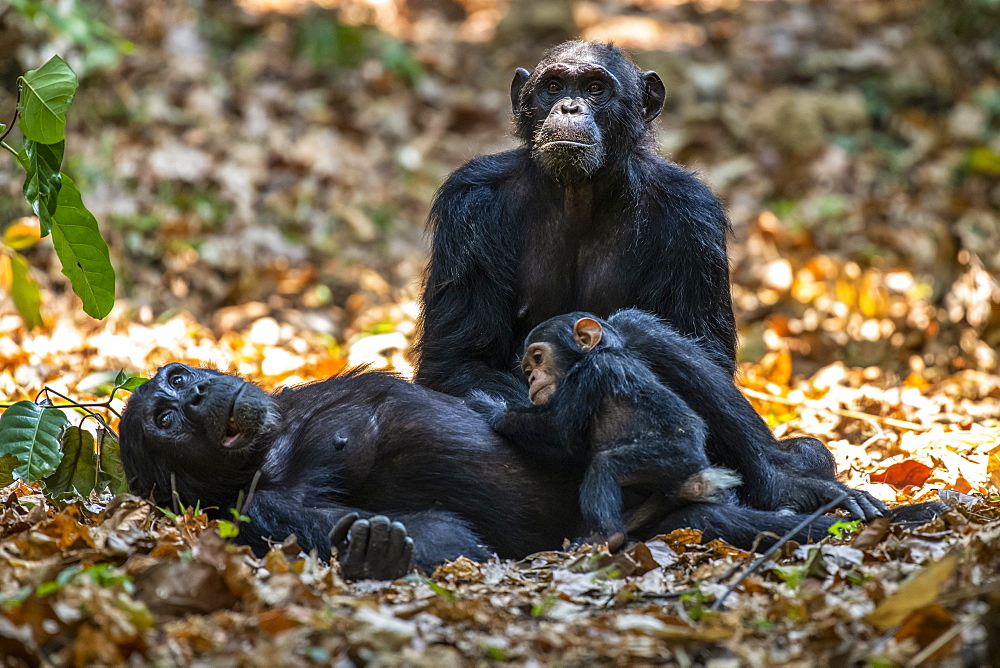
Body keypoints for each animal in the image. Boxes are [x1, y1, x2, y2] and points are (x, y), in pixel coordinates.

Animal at [117, 362, 868, 576]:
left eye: (176, 380)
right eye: (167, 422)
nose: (193, 395)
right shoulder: (263, 506)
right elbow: (449, 537)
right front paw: (374, 549)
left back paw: (805, 478)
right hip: (667, 519)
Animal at [464, 314, 740, 548]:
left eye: (538, 357)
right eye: (527, 370)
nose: (532, 378)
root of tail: (701, 479)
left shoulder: (591, 372)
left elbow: (557, 427)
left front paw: (490, 407)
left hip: (671, 456)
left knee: (605, 467)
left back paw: (607, 536)